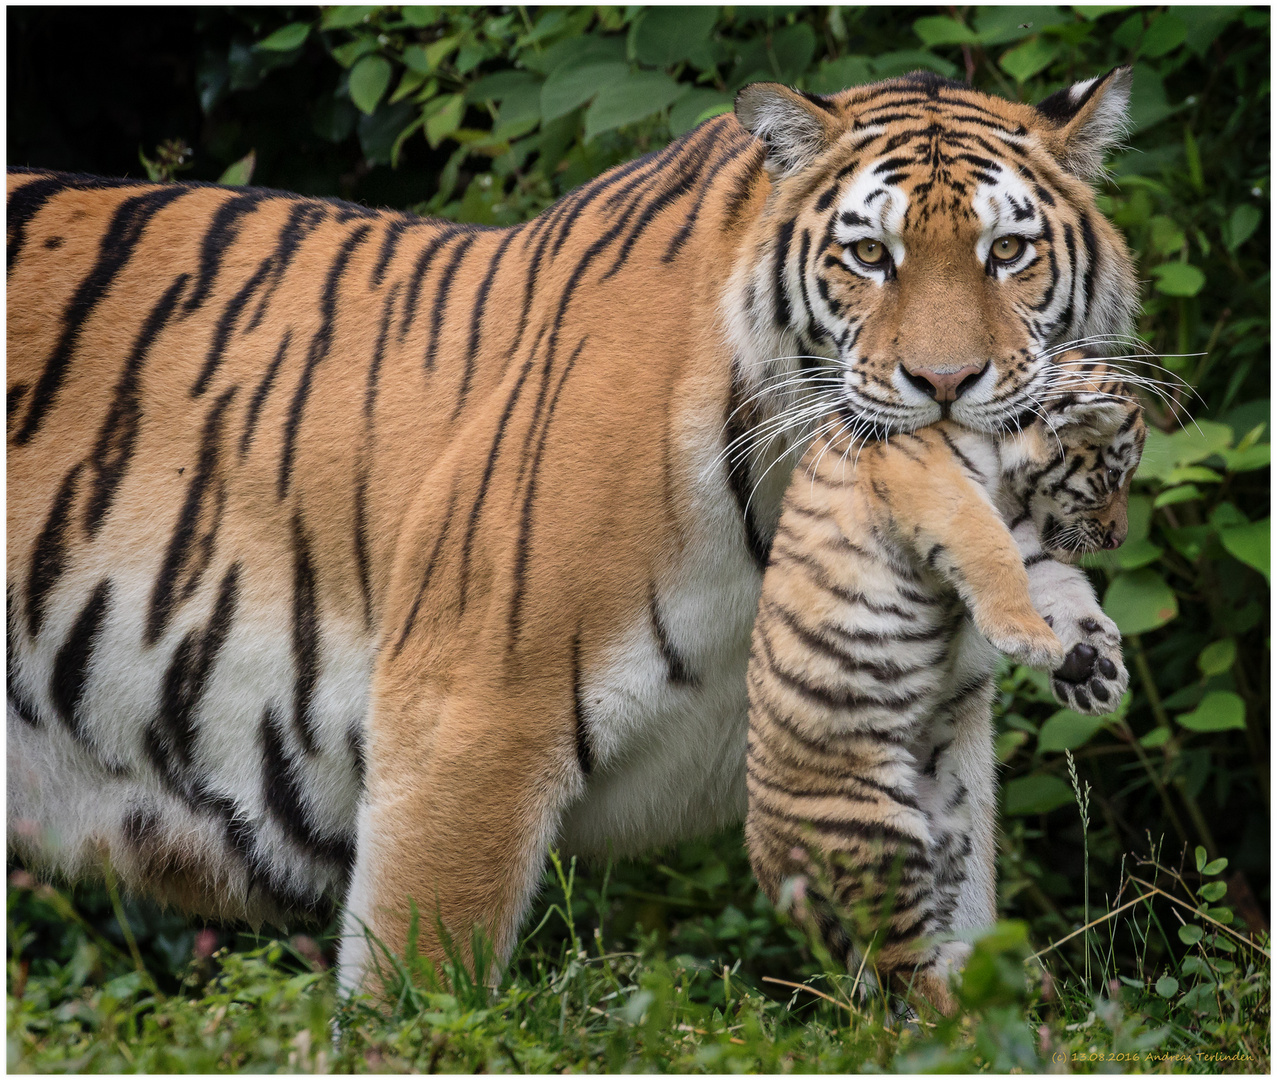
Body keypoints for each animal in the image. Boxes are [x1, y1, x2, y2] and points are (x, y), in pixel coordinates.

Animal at [4, 67, 1133, 995]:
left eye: (1006, 252)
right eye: (869, 255)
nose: (944, 385)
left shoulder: (927, 733)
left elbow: (956, 955)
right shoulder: (468, 721)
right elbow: (419, 1000)